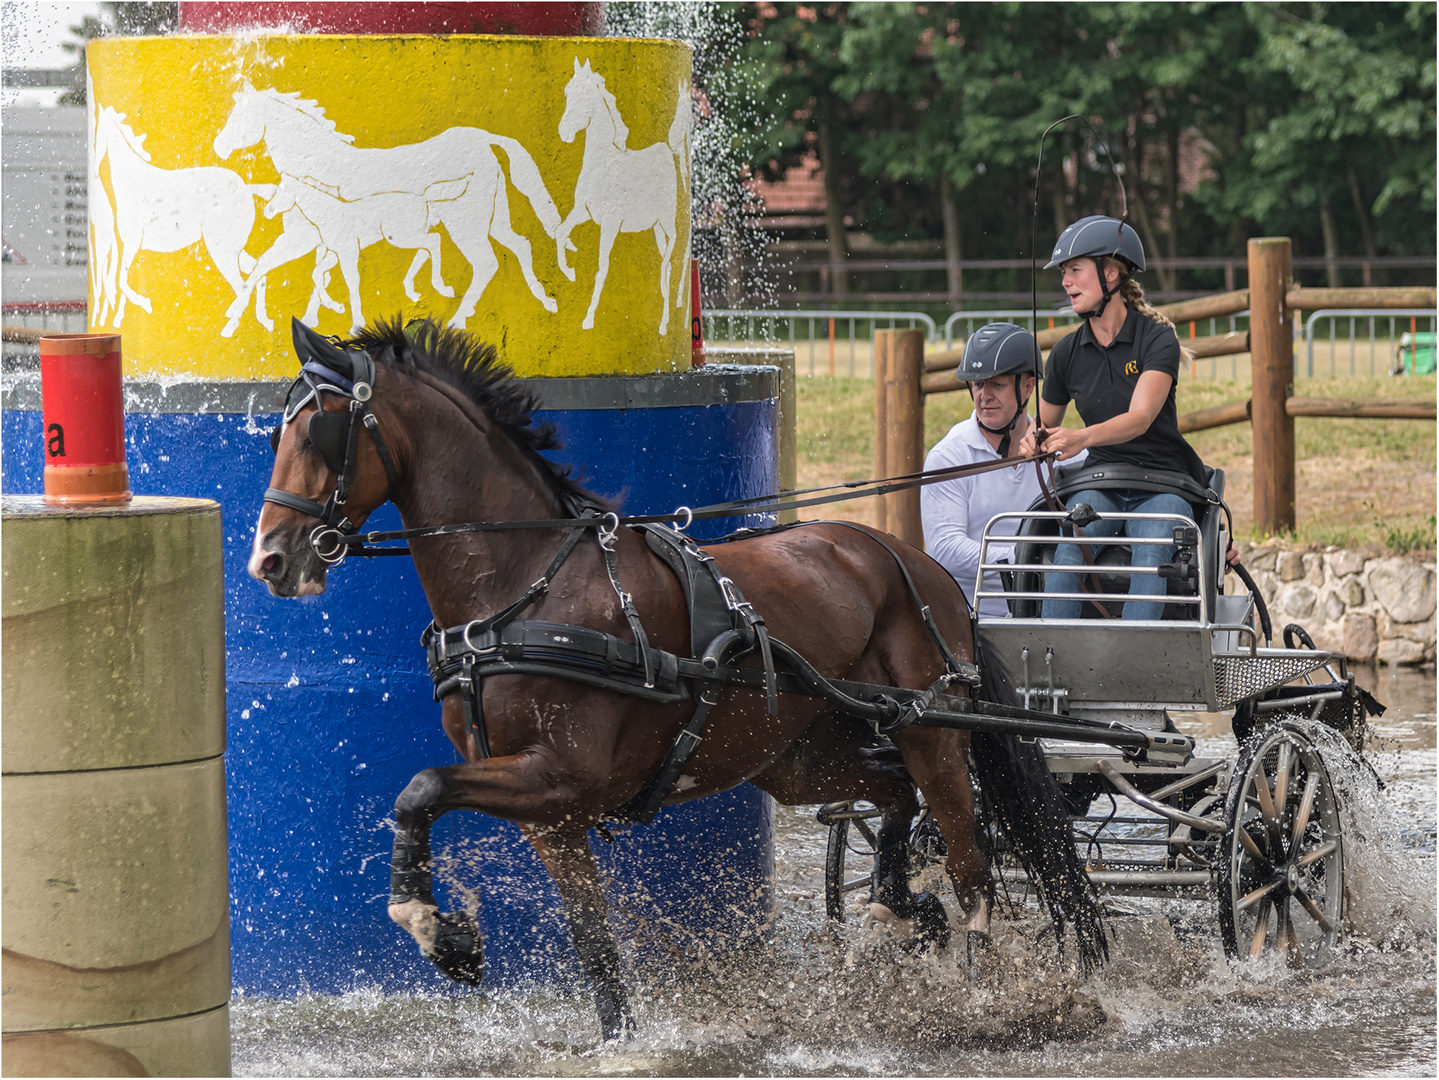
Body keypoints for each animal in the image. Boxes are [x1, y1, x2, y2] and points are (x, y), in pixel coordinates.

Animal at [250, 316, 1099, 1041]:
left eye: (320, 430)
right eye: (276, 431)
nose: (270, 560)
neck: (527, 586)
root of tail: (918, 565)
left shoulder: (558, 778)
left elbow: (418, 789)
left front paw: (442, 935)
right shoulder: (549, 811)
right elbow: (590, 941)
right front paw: (612, 1036)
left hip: (930, 730)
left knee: (968, 859)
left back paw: (979, 992)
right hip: (802, 754)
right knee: (892, 799)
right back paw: (895, 905)